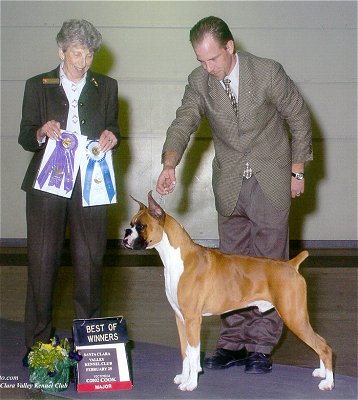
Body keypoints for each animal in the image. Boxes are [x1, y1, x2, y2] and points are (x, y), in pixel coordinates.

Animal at [122, 192, 332, 392]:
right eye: (131, 224)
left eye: (141, 226)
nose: (125, 235)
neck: (179, 258)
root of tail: (291, 265)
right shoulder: (180, 319)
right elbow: (185, 353)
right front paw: (184, 377)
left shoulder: (192, 320)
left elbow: (194, 354)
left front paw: (191, 384)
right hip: (297, 316)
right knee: (321, 342)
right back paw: (322, 373)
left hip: (293, 316)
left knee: (324, 346)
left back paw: (328, 383)